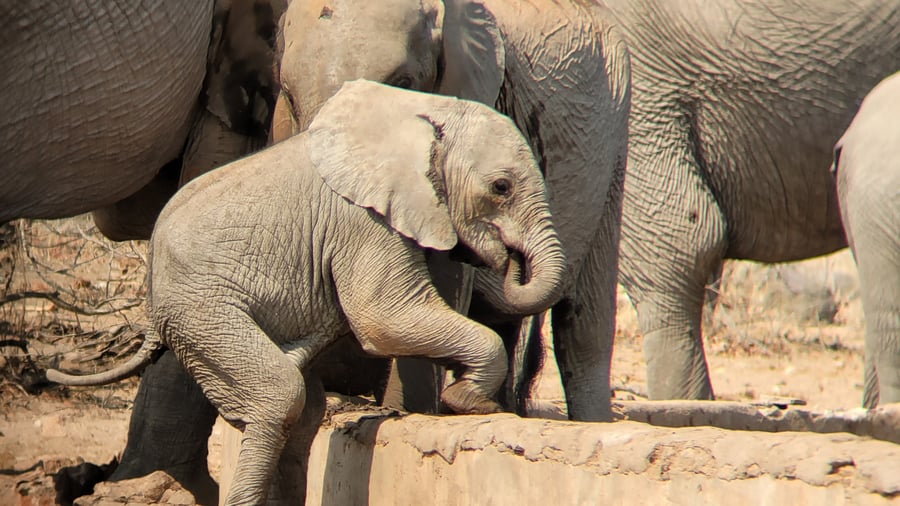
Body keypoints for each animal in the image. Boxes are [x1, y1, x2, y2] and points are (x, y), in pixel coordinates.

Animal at [48, 80, 567, 506]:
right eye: (500, 187)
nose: (508, 259)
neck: (420, 111)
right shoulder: (361, 221)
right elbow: (384, 319)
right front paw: (471, 403)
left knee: (303, 412)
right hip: (201, 311)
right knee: (281, 396)